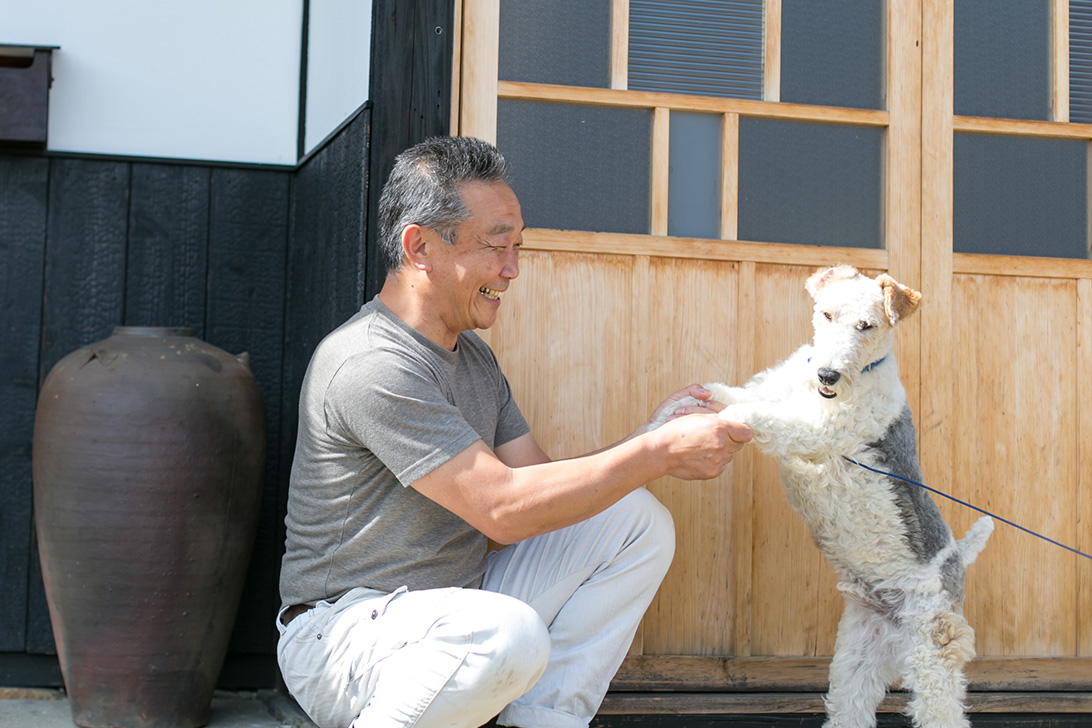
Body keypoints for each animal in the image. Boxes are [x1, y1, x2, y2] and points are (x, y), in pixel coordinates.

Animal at [650, 267, 995, 728]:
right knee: (851, 709)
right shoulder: (765, 395)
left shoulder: (818, 431)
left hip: (932, 647)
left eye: (866, 325)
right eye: (826, 313)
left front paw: (708, 427)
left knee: (943, 708)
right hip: (858, 655)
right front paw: (660, 422)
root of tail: (957, 556)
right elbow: (715, 392)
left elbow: (750, 416)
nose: (828, 376)